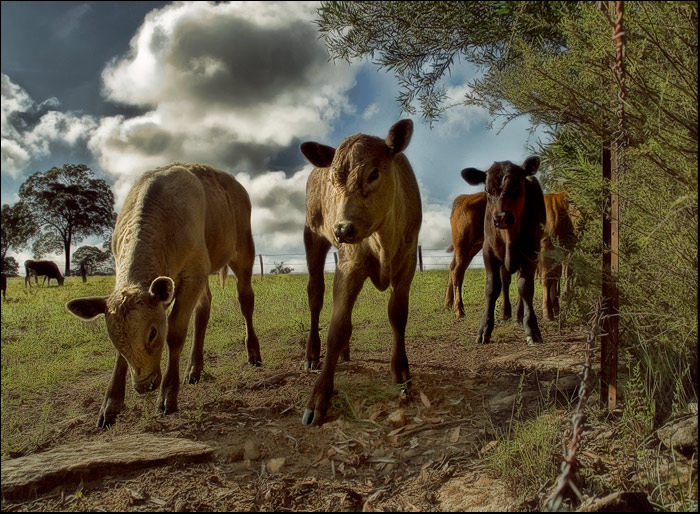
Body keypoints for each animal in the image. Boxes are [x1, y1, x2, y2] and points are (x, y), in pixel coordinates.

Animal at [65, 162, 262, 426]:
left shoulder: (193, 274)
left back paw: (253, 352)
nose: (143, 385)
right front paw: (110, 404)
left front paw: (168, 395)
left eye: (152, 333)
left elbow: (176, 332)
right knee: (203, 310)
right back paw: (194, 369)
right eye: (113, 337)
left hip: (242, 251)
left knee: (245, 299)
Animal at [300, 119, 422, 424]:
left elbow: (397, 315)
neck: (383, 240)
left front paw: (401, 371)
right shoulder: (350, 264)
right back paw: (312, 353)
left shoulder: (407, 264)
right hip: (313, 236)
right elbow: (337, 327)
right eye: (334, 180)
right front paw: (319, 397)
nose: (342, 229)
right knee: (316, 294)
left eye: (374, 173)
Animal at [462, 157, 548, 344]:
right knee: (505, 280)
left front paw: (531, 328)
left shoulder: (531, 252)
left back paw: (518, 316)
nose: (501, 217)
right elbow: (492, 288)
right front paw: (485, 329)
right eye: (487, 190)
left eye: (516, 187)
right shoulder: (489, 251)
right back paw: (505, 313)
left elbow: (525, 287)